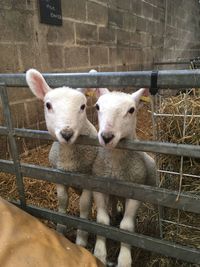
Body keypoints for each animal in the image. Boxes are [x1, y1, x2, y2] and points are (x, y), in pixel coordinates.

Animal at [25, 69, 97, 249]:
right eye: (48, 105)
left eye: (83, 106)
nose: (66, 133)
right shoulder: (58, 176)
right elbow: (62, 202)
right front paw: (60, 232)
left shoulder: (89, 180)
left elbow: (84, 206)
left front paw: (81, 240)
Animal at [92, 88, 156, 267]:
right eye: (98, 107)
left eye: (131, 110)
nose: (107, 137)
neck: (115, 163)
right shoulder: (99, 188)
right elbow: (102, 221)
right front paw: (99, 254)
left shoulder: (135, 192)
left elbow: (126, 227)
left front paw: (124, 259)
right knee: (114, 202)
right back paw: (115, 213)